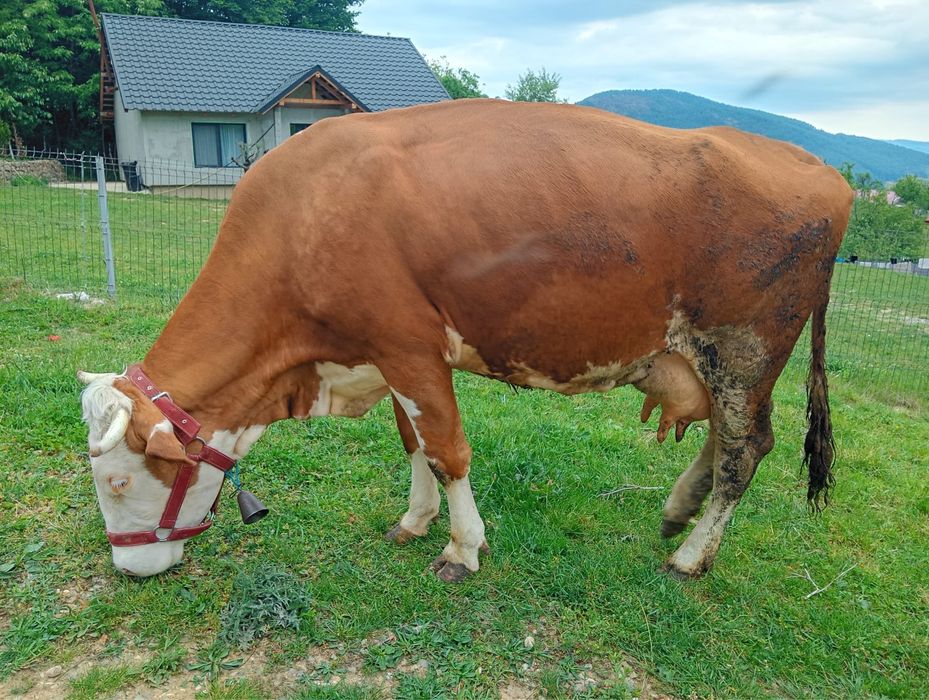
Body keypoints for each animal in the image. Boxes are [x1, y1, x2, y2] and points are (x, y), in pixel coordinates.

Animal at [79, 99, 852, 580]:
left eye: (119, 480)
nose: (129, 569)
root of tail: (820, 168)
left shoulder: (408, 345)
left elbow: (448, 451)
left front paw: (462, 547)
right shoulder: (387, 353)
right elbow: (414, 442)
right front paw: (415, 519)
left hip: (745, 350)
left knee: (744, 452)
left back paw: (690, 555)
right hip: (718, 360)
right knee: (725, 442)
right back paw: (676, 510)